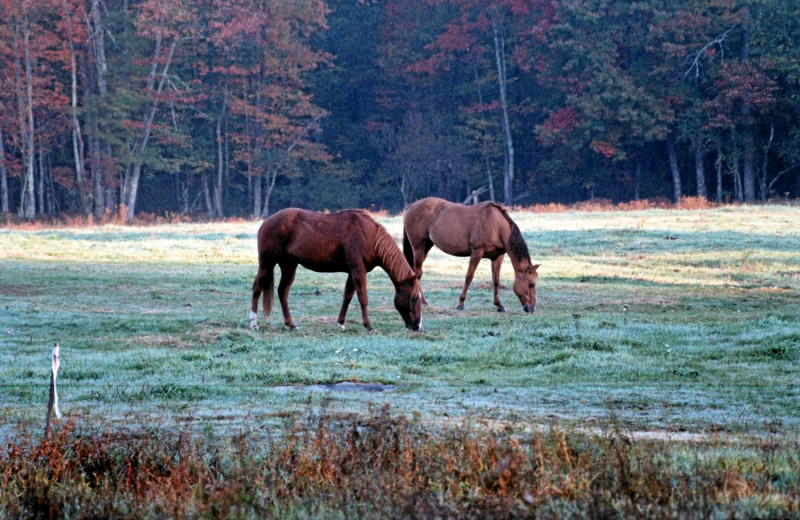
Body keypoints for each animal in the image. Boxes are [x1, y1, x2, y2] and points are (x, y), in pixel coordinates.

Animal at [250, 205, 424, 332]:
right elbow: (363, 297)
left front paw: (341, 323)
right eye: (414, 298)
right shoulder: (357, 269)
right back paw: (253, 323)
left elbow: (347, 296)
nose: (417, 326)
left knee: (282, 291)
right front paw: (368, 326)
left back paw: (291, 324)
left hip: (289, 265)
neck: (370, 236)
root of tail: (265, 222)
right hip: (266, 263)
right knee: (257, 288)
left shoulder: (352, 272)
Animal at [404, 197, 540, 312]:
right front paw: (461, 304)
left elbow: (496, 281)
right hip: (418, 247)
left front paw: (499, 305)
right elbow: (469, 277)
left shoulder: (497, 257)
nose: (532, 309)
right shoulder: (477, 252)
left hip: (426, 247)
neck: (496, 225)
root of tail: (410, 206)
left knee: (417, 272)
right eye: (531, 284)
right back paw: (422, 302)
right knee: (417, 272)